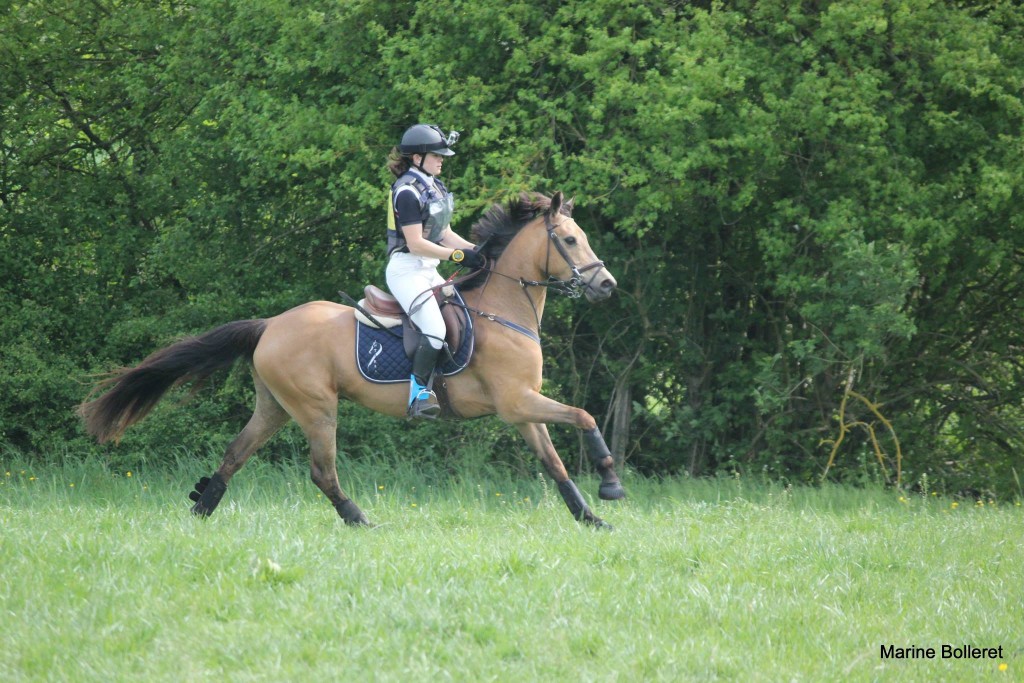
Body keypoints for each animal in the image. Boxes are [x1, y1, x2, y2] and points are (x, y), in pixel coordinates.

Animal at [77, 191, 622, 528]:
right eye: (569, 240)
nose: (606, 285)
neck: (502, 310)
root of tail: (270, 325)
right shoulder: (516, 402)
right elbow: (584, 416)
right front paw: (612, 484)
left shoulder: (523, 407)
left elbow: (554, 463)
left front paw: (590, 517)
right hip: (317, 408)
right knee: (322, 471)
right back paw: (359, 518)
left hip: (274, 406)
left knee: (236, 453)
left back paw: (201, 509)